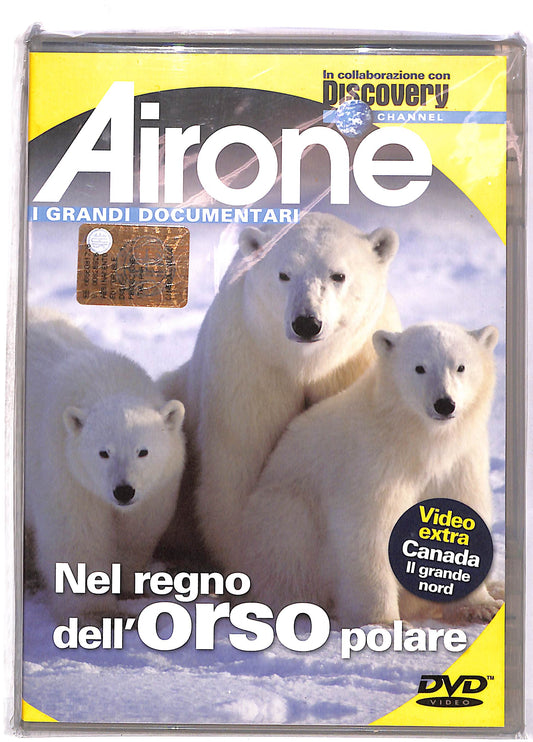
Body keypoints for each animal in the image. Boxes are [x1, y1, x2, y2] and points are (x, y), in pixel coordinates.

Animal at [24, 309, 186, 621]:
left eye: (143, 451)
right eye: (103, 453)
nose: (124, 491)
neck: (107, 382)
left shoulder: (157, 487)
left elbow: (135, 532)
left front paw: (129, 588)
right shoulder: (66, 472)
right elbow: (78, 537)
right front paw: (96, 613)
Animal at [158, 212, 401, 572]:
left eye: (338, 275)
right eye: (284, 274)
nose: (307, 323)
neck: (305, 364)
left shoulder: (356, 363)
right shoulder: (252, 365)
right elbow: (238, 464)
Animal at [239, 322, 501, 627]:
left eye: (460, 366)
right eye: (419, 367)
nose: (444, 404)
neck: (419, 440)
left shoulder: (460, 461)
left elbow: (461, 514)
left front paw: (481, 607)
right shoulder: (374, 462)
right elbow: (369, 531)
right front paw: (383, 622)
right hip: (283, 514)